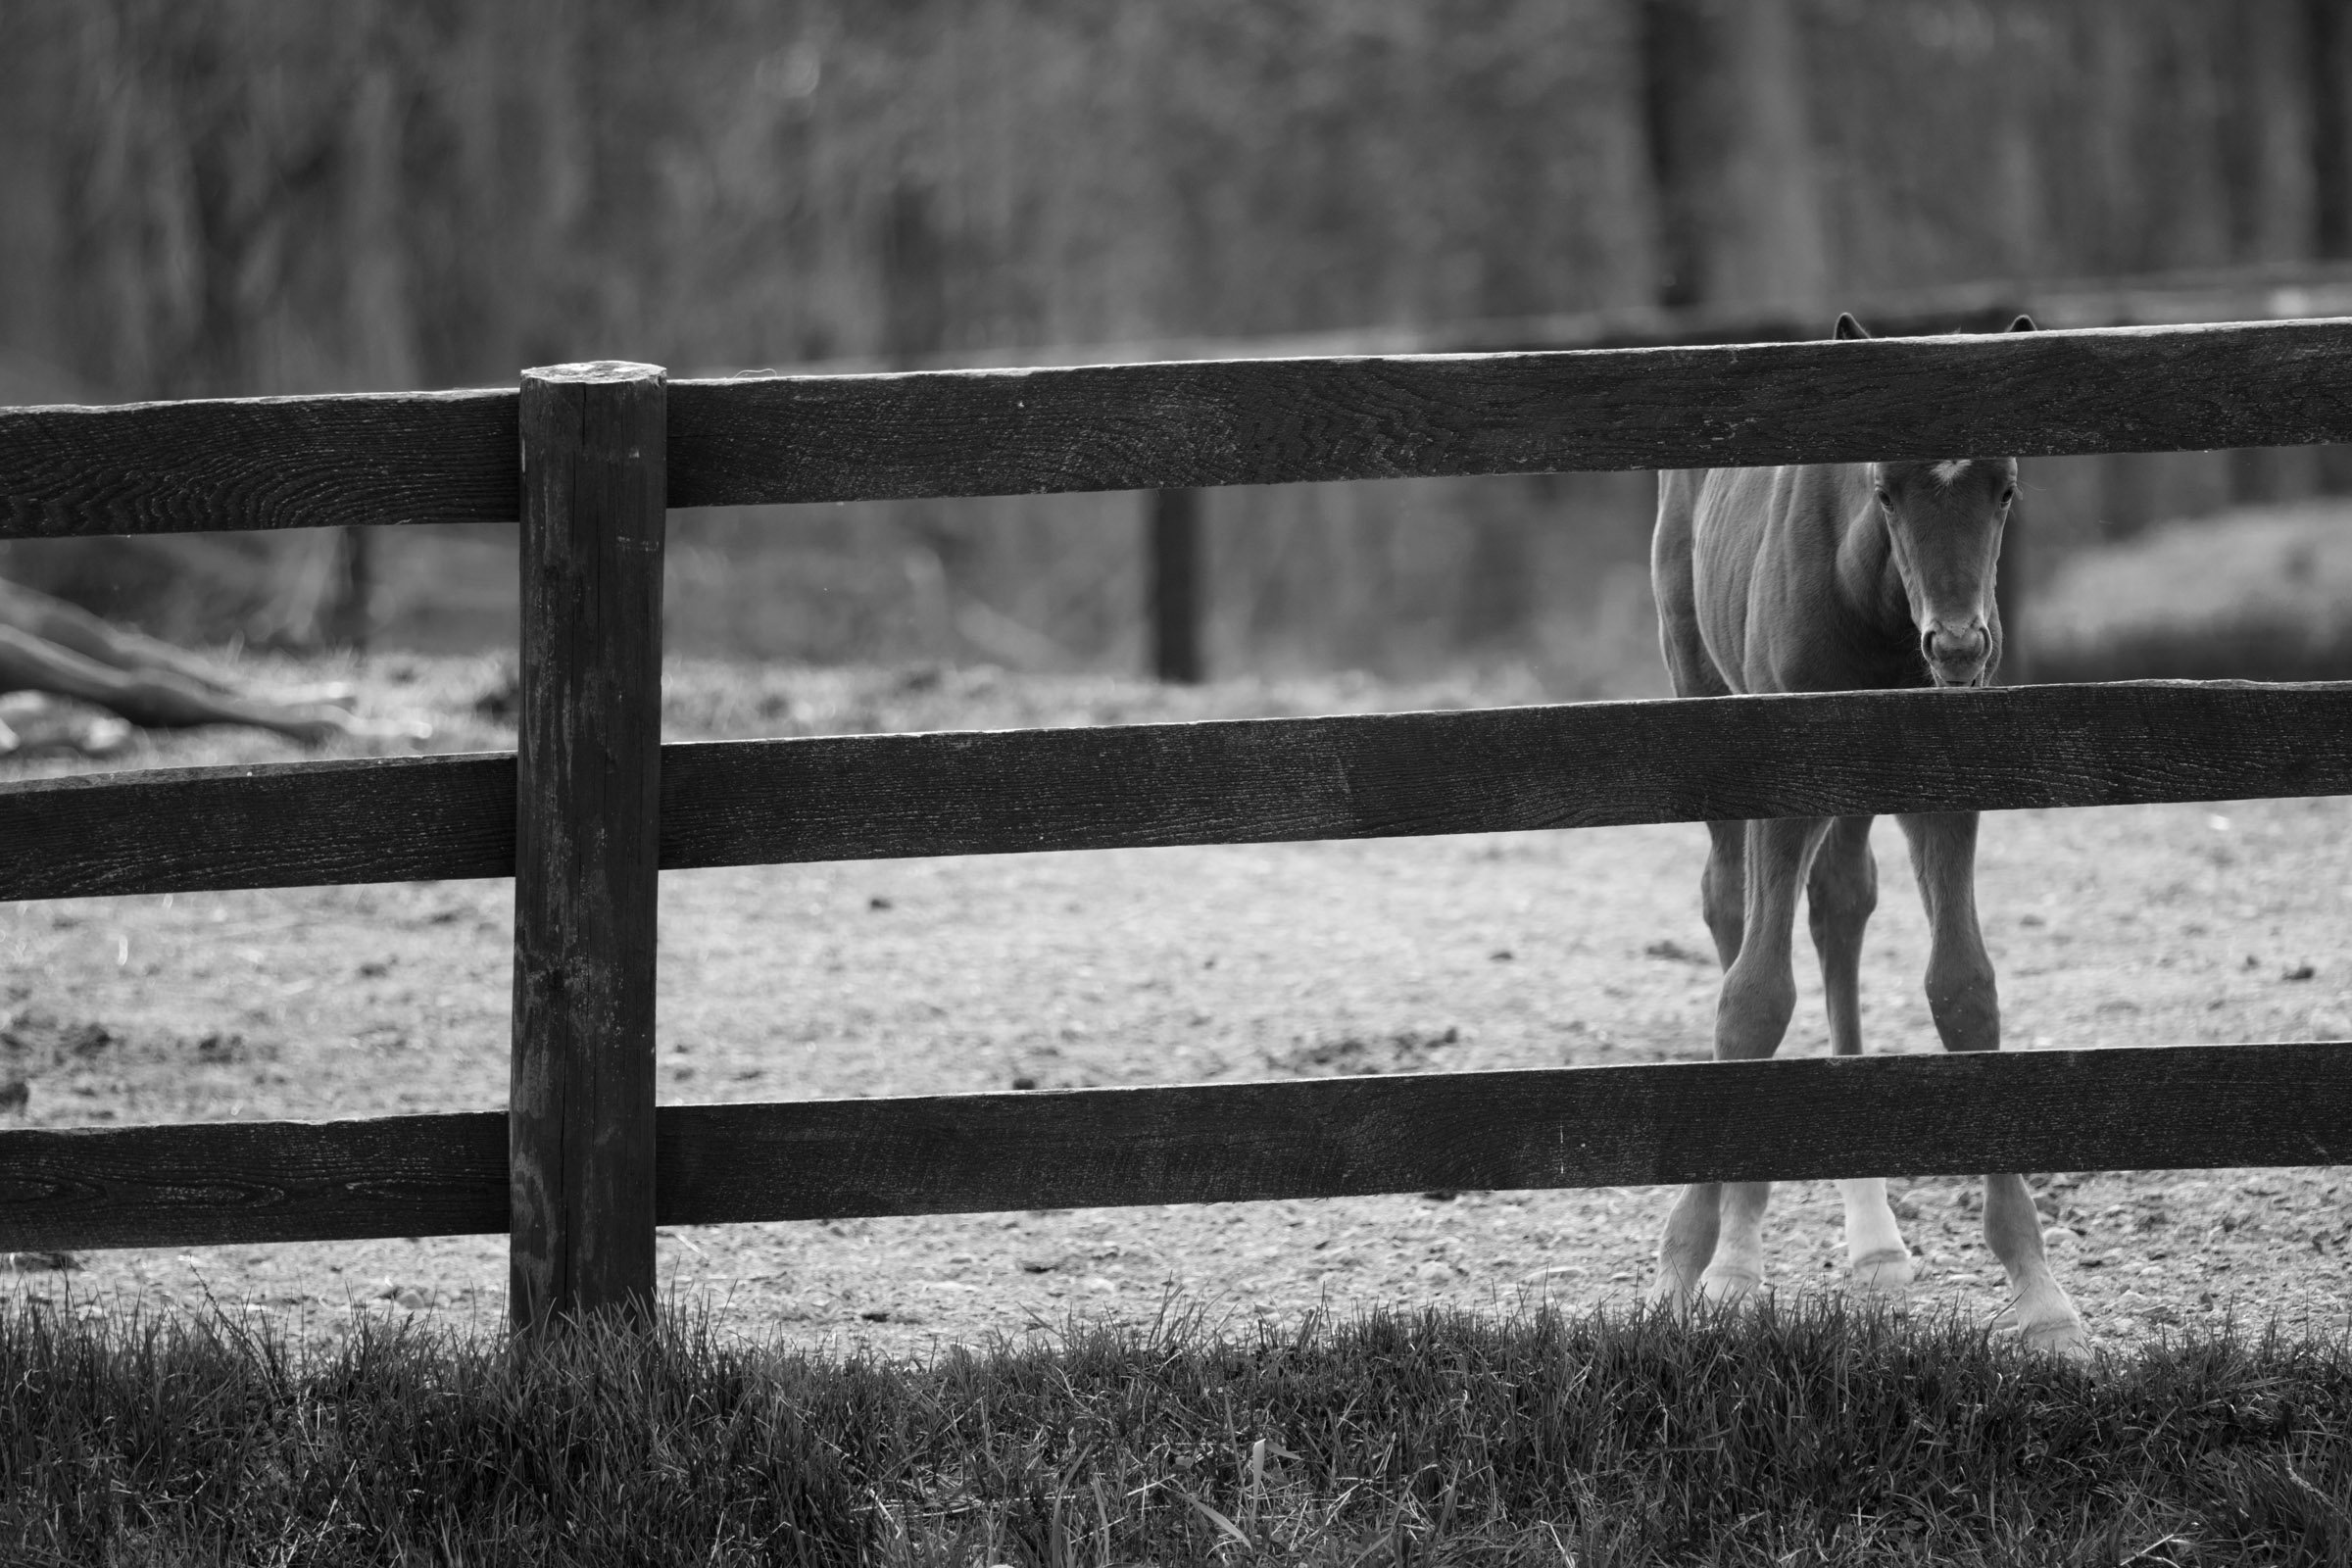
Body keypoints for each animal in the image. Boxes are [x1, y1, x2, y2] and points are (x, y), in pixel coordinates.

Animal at [1646, 310, 2088, 1363]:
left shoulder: (1942, 786)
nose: (1958, 646)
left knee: (1838, 906)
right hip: (1704, 702)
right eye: (1885, 487)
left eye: (2006, 488)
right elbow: (1752, 1003)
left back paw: (1875, 1240)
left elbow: (1963, 992)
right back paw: (1738, 1248)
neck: (1875, 602)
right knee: (1732, 913)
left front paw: (2041, 1295)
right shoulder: (1784, 777)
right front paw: (1688, 1264)